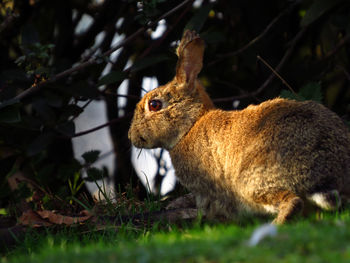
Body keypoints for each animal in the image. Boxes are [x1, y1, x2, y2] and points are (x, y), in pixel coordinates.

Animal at [128, 30, 350, 225]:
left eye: (154, 105)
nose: (132, 136)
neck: (190, 126)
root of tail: (328, 174)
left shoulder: (207, 189)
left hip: (252, 182)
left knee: (292, 201)